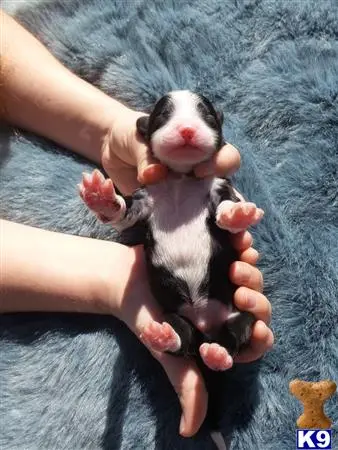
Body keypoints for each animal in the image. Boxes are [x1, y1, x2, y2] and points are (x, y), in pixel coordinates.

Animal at [79, 89, 264, 448]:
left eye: (205, 113)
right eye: (163, 115)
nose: (187, 130)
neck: (180, 178)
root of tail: (205, 329)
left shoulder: (218, 186)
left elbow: (227, 205)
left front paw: (237, 215)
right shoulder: (144, 199)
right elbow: (124, 211)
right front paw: (101, 197)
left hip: (241, 317)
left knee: (232, 338)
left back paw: (218, 354)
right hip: (174, 316)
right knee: (183, 342)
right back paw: (165, 336)